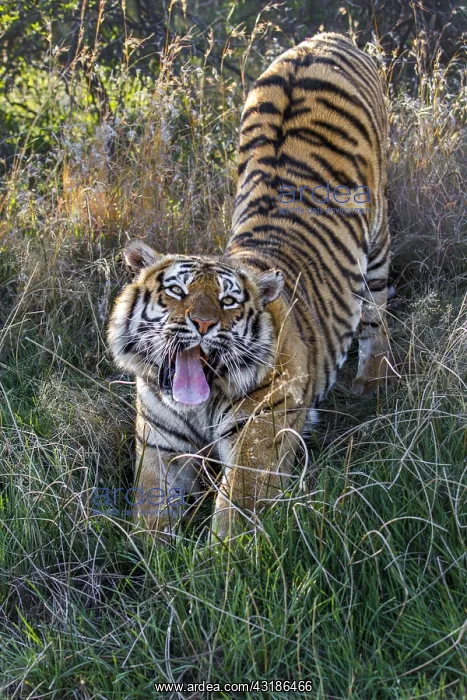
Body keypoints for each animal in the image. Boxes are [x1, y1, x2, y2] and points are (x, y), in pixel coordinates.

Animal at [107, 32, 394, 542]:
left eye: (228, 301)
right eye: (177, 292)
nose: (202, 324)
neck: (198, 404)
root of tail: (324, 39)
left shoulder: (260, 433)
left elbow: (235, 512)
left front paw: (216, 558)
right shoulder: (159, 443)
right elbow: (151, 514)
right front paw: (151, 552)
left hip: (376, 244)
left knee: (376, 314)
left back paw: (372, 382)